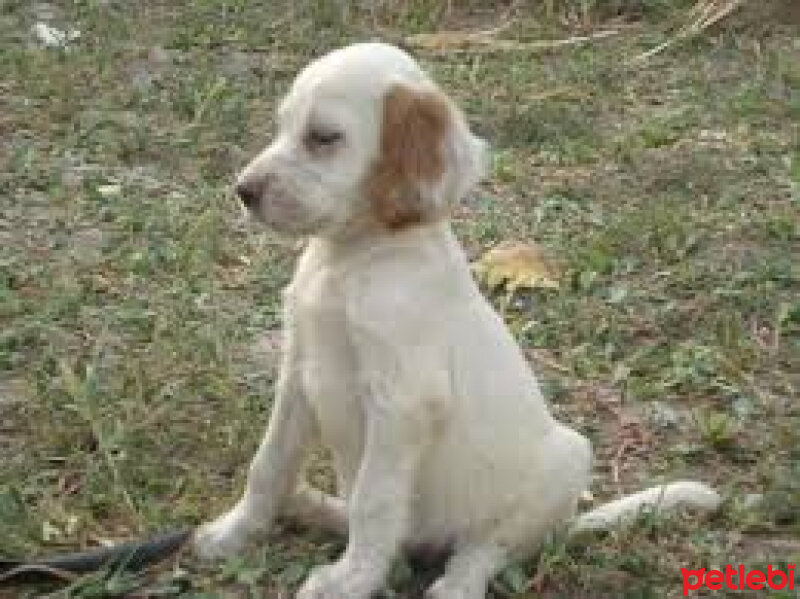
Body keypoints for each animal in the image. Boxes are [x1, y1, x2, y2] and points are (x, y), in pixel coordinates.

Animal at [194, 43, 720, 599]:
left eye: (323, 137)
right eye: (282, 126)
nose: (243, 190)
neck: (353, 259)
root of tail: (564, 526)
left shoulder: (402, 401)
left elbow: (374, 501)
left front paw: (351, 580)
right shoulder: (299, 374)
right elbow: (269, 463)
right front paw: (233, 532)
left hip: (566, 461)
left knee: (485, 549)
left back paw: (453, 583)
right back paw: (310, 504)